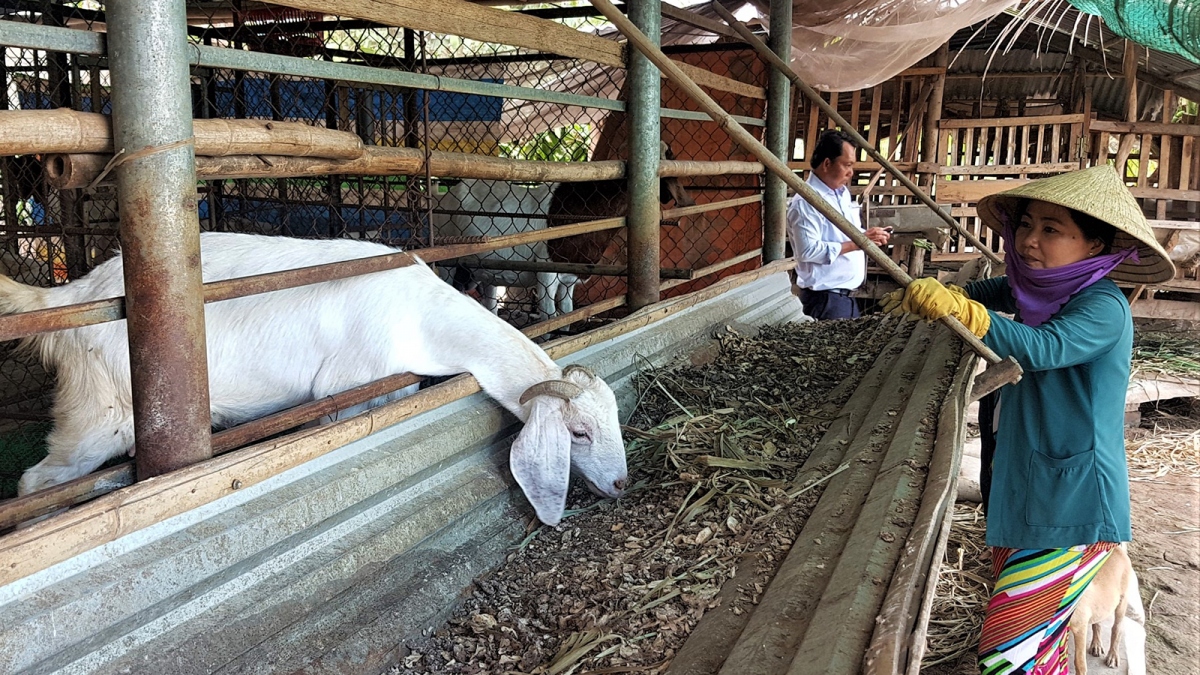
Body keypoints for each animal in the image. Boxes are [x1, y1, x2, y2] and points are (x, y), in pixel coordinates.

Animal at [2, 230, 628, 526]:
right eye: (578, 434)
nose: (622, 484)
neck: (417, 313)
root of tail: (67, 298)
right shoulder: (344, 391)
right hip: (99, 412)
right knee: (36, 482)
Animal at [434, 177, 578, 317]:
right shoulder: (546, 273)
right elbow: (550, 317)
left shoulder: (568, 281)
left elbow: (568, 314)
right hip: (447, 263)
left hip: (481, 272)